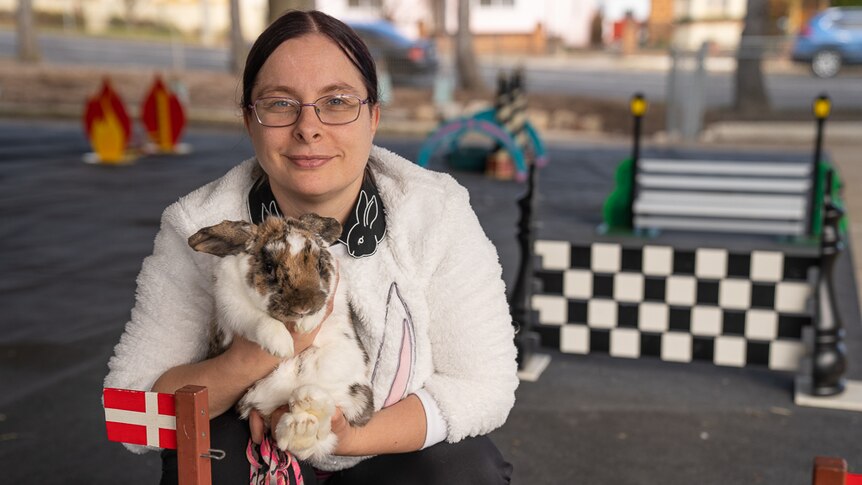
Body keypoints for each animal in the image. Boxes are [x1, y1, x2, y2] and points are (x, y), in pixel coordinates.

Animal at [191, 216, 372, 462]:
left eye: (319, 264)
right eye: (269, 266)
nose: (303, 306)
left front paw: (308, 324)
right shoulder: (231, 305)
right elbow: (258, 319)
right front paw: (281, 346)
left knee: (322, 432)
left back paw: (308, 405)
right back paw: (301, 422)